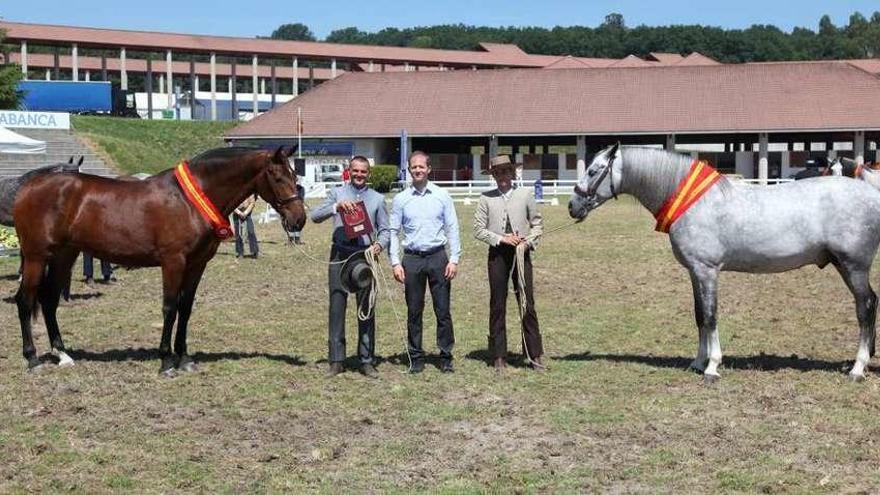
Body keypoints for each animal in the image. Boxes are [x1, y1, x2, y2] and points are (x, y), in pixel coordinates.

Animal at [12, 146, 310, 376]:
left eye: (294, 175)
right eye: (276, 176)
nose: (299, 219)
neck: (189, 200)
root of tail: (26, 187)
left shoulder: (197, 264)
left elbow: (185, 308)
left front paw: (185, 358)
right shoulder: (173, 261)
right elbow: (169, 307)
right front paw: (166, 360)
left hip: (65, 256)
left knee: (49, 300)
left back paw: (62, 354)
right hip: (37, 257)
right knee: (25, 300)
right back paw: (33, 359)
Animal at [572, 143, 880, 384]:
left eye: (594, 170)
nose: (572, 206)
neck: (695, 202)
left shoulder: (707, 271)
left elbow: (710, 316)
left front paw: (712, 367)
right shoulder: (695, 272)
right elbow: (699, 316)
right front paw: (697, 362)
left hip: (853, 266)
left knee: (865, 307)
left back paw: (857, 368)